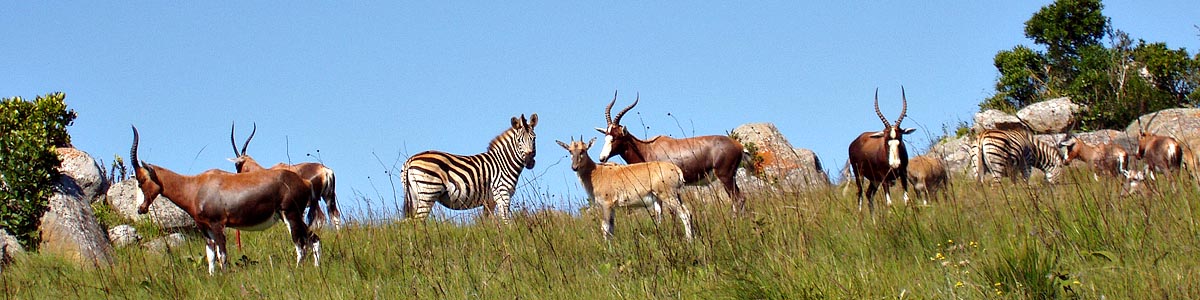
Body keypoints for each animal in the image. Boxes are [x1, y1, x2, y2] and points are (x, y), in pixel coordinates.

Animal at [130, 125, 319, 274]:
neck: (196, 185)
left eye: (141, 180)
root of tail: (305, 182)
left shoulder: (217, 225)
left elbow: (222, 255)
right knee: (313, 239)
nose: (140, 209)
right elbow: (211, 256)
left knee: (301, 245)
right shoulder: (205, 228)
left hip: (291, 216)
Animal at [400, 113, 537, 219]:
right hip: (427, 193)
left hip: (414, 196)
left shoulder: (490, 201)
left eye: (534, 138)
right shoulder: (502, 194)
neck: (503, 162)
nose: (530, 161)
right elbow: (506, 221)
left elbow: (490, 223)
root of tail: (410, 161)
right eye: (519, 141)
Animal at [554, 137, 691, 238]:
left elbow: (605, 228)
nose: (574, 167)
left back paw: (689, 240)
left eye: (583, 150)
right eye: (570, 151)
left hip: (668, 196)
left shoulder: (606, 204)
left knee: (684, 214)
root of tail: (676, 170)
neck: (596, 172)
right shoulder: (613, 208)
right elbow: (611, 228)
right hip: (672, 197)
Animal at [592, 91, 748, 213]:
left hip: (725, 176)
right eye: (606, 136)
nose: (602, 158)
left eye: (616, 137)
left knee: (738, 199)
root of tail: (739, 146)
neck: (647, 149)